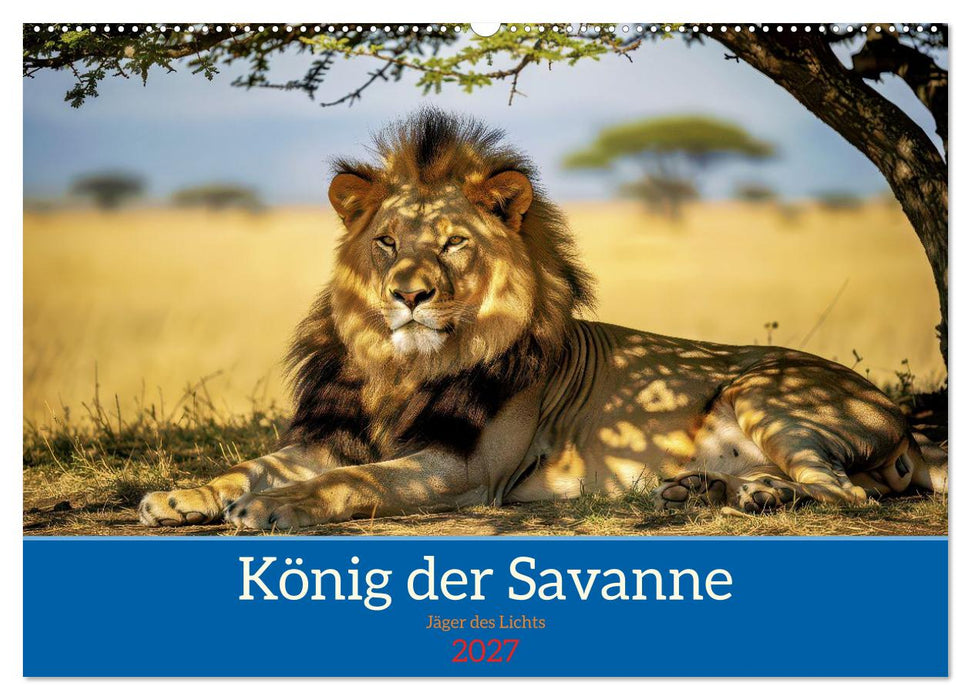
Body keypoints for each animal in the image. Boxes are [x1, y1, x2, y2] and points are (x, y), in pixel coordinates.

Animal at [139, 108, 947, 530]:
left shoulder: (461, 469)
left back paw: (753, 494)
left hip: (764, 389)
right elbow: (251, 464)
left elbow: (352, 482)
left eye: (453, 243)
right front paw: (182, 495)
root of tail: (902, 422)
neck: (403, 366)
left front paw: (273, 507)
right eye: (387, 241)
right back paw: (714, 491)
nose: (408, 294)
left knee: (851, 493)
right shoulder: (327, 435)